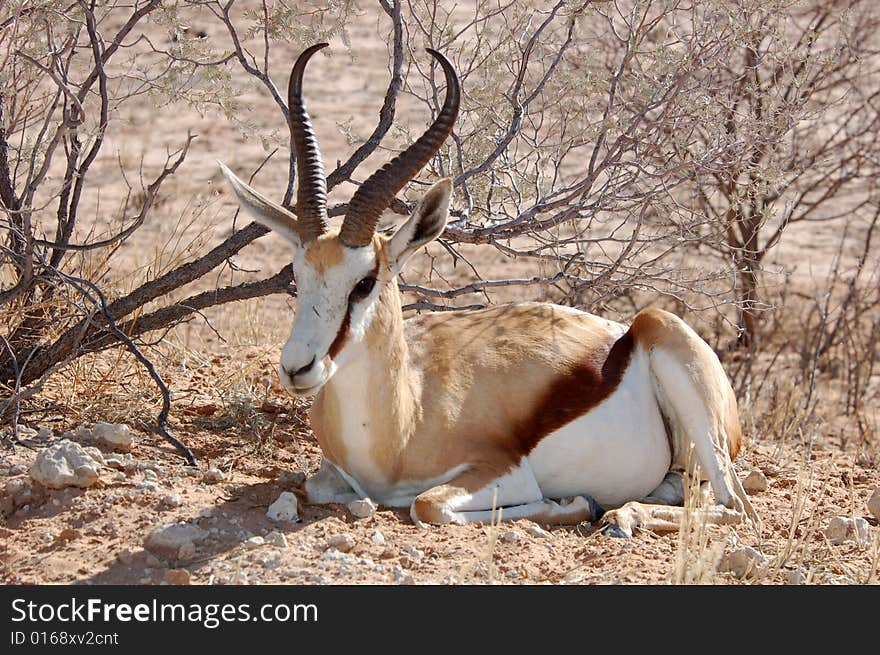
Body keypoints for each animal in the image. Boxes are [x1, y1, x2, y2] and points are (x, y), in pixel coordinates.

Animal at [218, 46, 756, 540]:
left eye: (365, 282)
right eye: (298, 274)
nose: (297, 368)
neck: (402, 423)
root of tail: (626, 331)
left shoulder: (502, 471)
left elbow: (428, 505)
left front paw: (574, 504)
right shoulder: (333, 475)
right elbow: (312, 486)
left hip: (681, 372)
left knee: (737, 509)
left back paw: (621, 515)